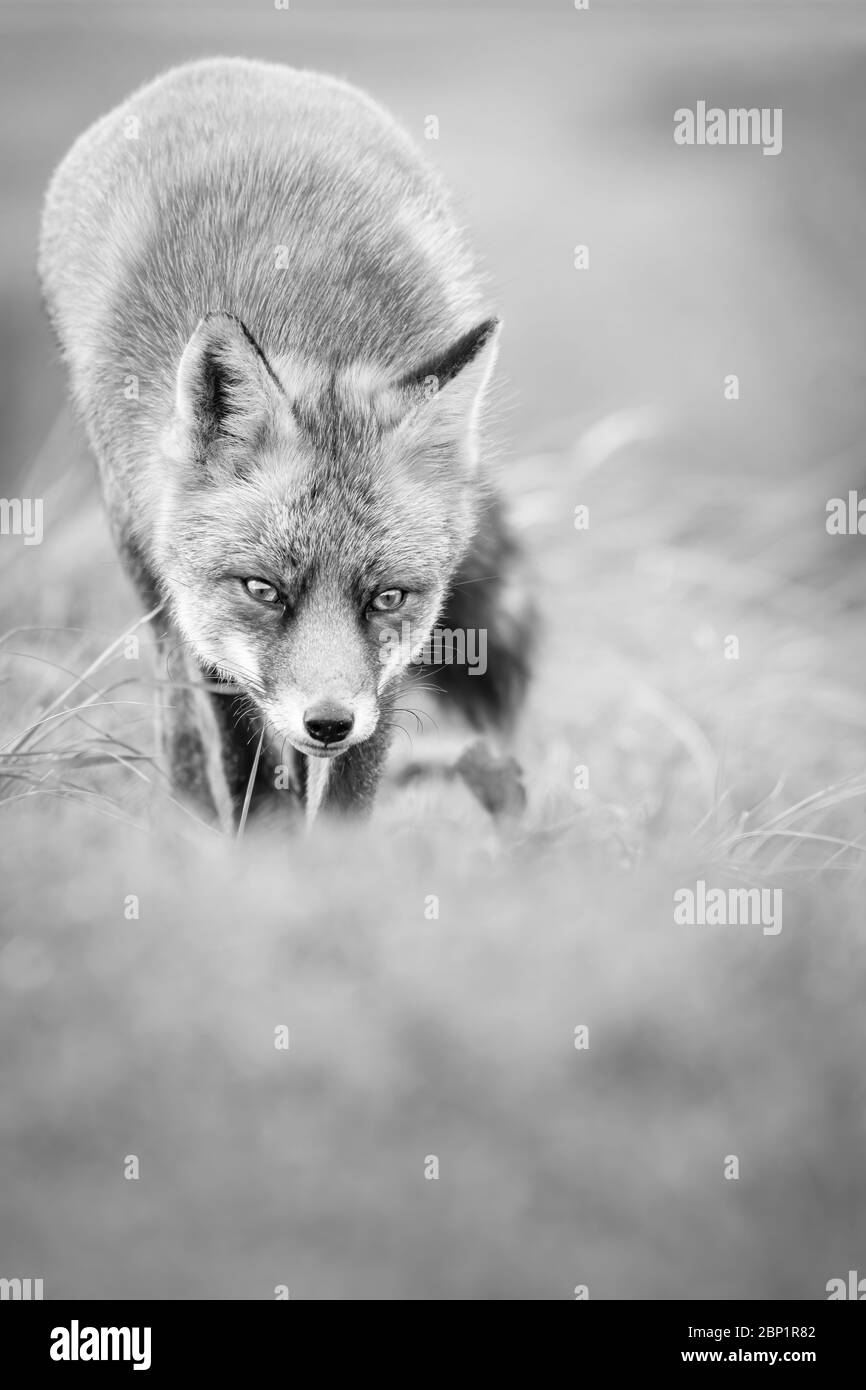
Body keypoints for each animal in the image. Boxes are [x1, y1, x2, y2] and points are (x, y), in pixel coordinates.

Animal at [38, 56, 536, 822]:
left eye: (386, 597)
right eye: (262, 589)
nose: (326, 722)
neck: (313, 326)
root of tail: (225, 66)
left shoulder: (384, 670)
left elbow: (345, 793)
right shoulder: (209, 624)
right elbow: (246, 760)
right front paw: (260, 847)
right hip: (139, 549)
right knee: (178, 710)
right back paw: (190, 814)